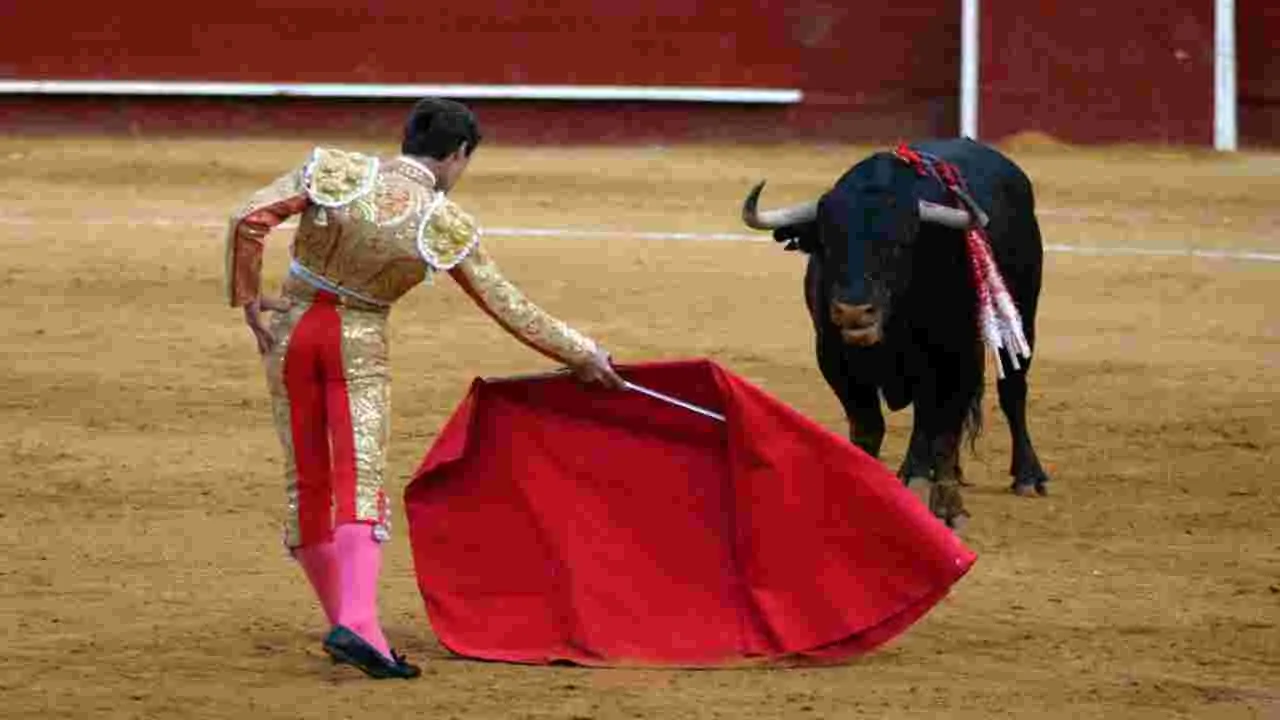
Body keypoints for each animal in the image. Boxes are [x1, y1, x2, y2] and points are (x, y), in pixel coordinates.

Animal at [739, 137, 1050, 531]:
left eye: (900, 244)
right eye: (826, 243)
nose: (853, 311)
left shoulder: (957, 355)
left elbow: (944, 431)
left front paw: (949, 509)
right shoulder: (834, 357)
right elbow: (869, 427)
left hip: (1023, 315)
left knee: (1011, 391)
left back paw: (1026, 475)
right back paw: (923, 472)